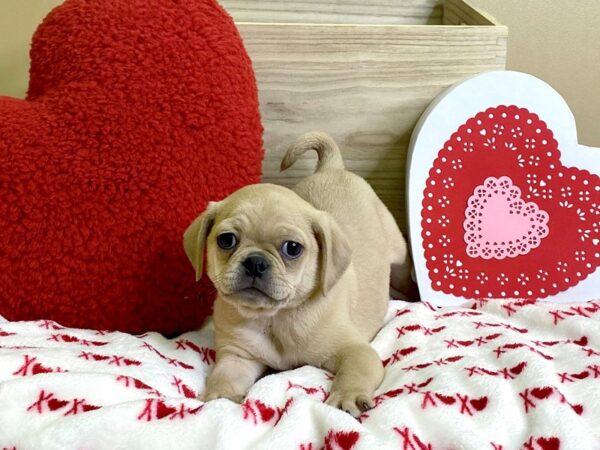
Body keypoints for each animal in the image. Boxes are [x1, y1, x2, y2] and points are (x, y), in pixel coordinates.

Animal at [183, 132, 412, 416]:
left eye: (292, 248)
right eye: (226, 240)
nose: (256, 262)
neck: (275, 318)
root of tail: (331, 167)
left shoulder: (355, 351)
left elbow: (354, 373)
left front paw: (347, 397)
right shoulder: (238, 356)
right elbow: (224, 375)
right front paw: (220, 396)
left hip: (398, 252)